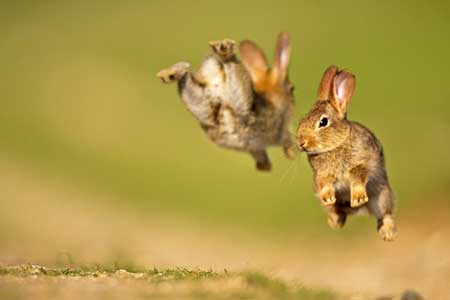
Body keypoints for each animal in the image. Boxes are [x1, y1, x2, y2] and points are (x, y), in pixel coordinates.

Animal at [156, 32, 298, 171]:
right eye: (292, 89)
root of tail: (216, 81)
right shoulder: (281, 129)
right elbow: (286, 140)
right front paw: (290, 154)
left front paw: (264, 166)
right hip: (242, 102)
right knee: (230, 64)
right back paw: (225, 49)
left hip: (199, 103)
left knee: (185, 78)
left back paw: (168, 74)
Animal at [296, 65, 398, 241]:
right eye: (303, 119)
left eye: (323, 122)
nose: (301, 142)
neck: (336, 145)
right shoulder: (321, 174)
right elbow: (325, 184)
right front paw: (328, 198)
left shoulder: (362, 163)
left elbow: (357, 178)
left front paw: (358, 198)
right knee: (337, 212)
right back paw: (335, 220)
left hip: (382, 196)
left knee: (385, 214)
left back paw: (387, 233)